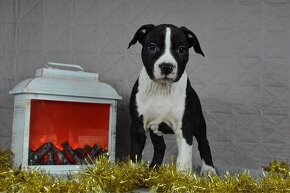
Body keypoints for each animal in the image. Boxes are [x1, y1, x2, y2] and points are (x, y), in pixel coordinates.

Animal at [127, 23, 215, 174]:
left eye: (181, 49)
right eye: (152, 46)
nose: (166, 67)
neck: (161, 89)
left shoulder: (185, 127)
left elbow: (184, 157)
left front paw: (181, 177)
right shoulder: (138, 126)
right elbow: (136, 154)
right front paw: (131, 174)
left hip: (199, 124)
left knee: (204, 143)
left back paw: (209, 170)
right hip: (155, 130)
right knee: (160, 147)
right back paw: (153, 170)